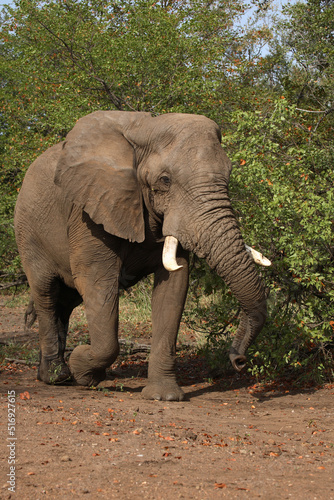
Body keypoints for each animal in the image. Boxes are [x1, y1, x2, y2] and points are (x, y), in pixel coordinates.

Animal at [14, 111, 270, 400]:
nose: (239, 360)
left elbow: (174, 286)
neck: (145, 129)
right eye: (165, 180)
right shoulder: (88, 211)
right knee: (46, 292)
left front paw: (163, 396)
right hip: (28, 231)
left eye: (228, 175)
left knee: (66, 301)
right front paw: (83, 368)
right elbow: (96, 281)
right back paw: (57, 377)